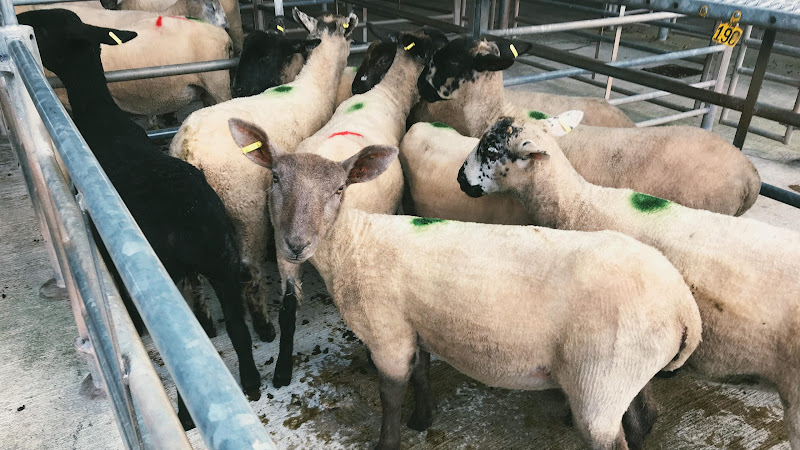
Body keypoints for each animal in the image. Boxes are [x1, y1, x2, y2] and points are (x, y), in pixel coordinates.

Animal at [169, 7, 358, 344]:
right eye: (348, 35)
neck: (312, 85)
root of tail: (189, 149)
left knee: (191, 271)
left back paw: (205, 323)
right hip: (243, 205)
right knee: (246, 268)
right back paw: (263, 326)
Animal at [226, 116, 702, 450]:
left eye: (340, 189)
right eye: (275, 179)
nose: (294, 245)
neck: (356, 245)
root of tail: (684, 308)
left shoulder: (386, 334)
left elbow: (390, 396)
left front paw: (391, 438)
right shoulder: (414, 324)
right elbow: (421, 373)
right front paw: (423, 419)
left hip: (598, 384)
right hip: (627, 374)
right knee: (644, 415)